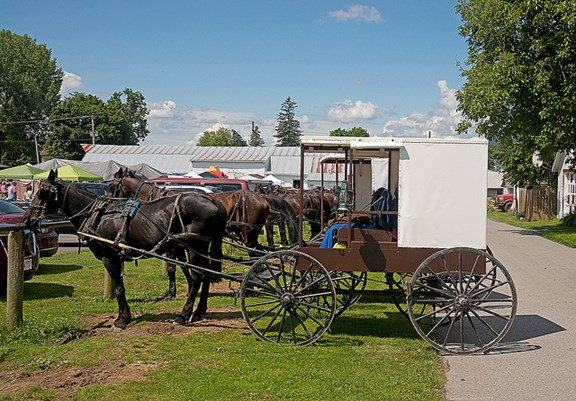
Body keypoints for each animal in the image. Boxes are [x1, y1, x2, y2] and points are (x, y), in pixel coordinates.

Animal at [25, 169, 227, 328]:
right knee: (206, 273)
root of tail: (213, 201)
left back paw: (184, 314)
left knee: (198, 275)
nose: (27, 219)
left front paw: (122, 319)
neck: (97, 215)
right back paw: (199, 310)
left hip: (195, 245)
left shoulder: (109, 256)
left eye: (43, 192)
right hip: (202, 247)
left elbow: (119, 289)